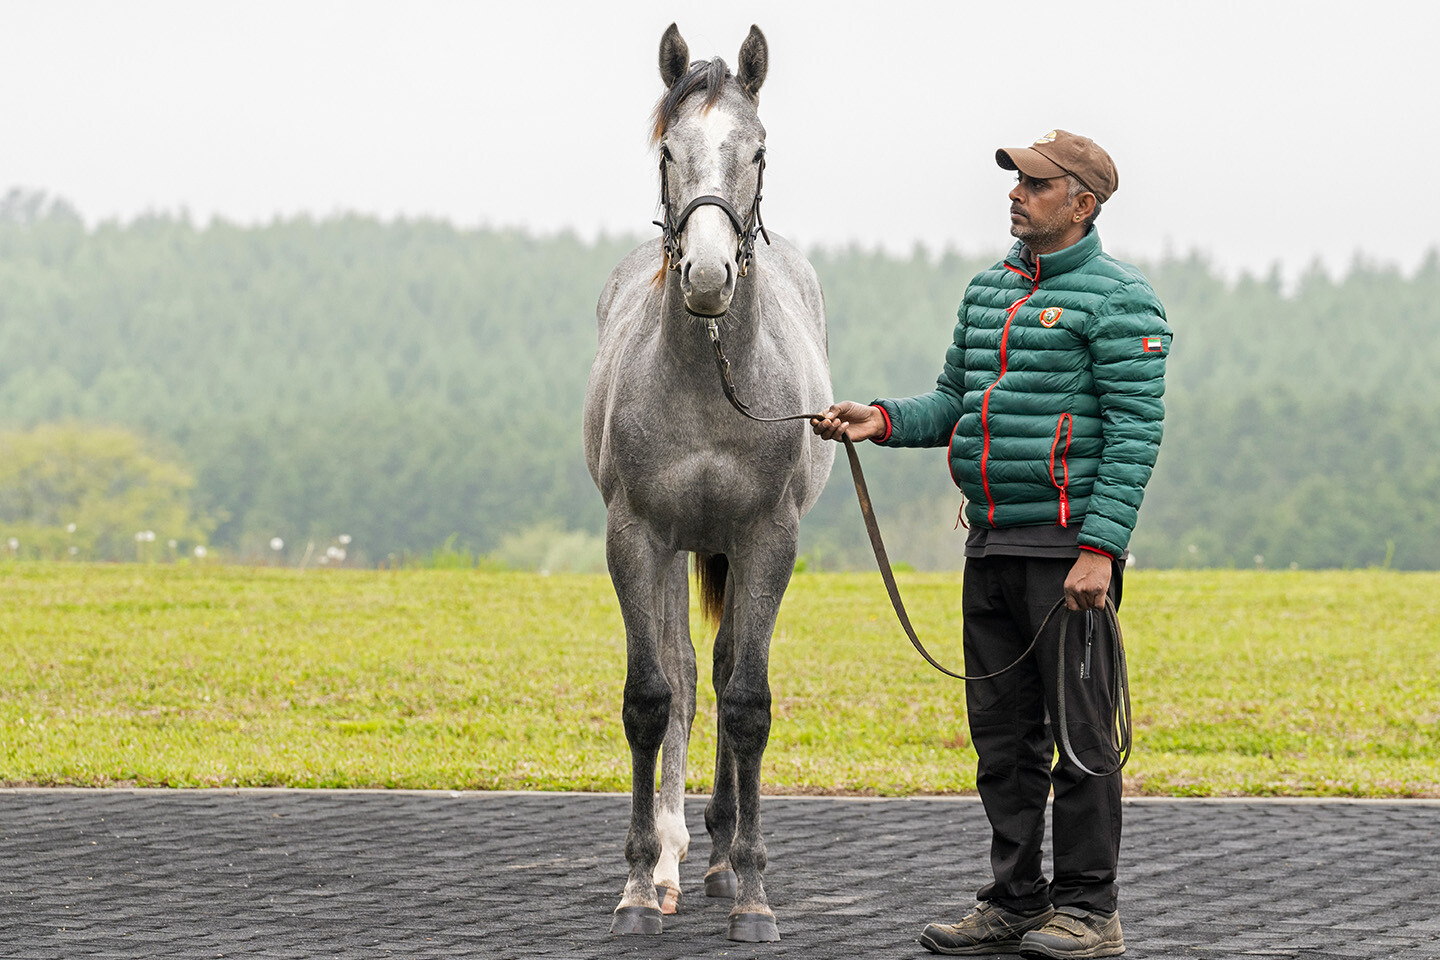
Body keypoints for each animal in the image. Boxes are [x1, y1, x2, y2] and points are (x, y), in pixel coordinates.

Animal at [582, 23, 834, 943]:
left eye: (757, 149)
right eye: (668, 149)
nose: (707, 275)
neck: (708, 377)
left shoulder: (766, 539)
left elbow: (748, 700)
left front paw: (753, 890)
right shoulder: (636, 537)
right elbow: (653, 697)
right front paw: (636, 884)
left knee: (725, 675)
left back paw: (725, 857)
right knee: (691, 676)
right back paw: (673, 860)